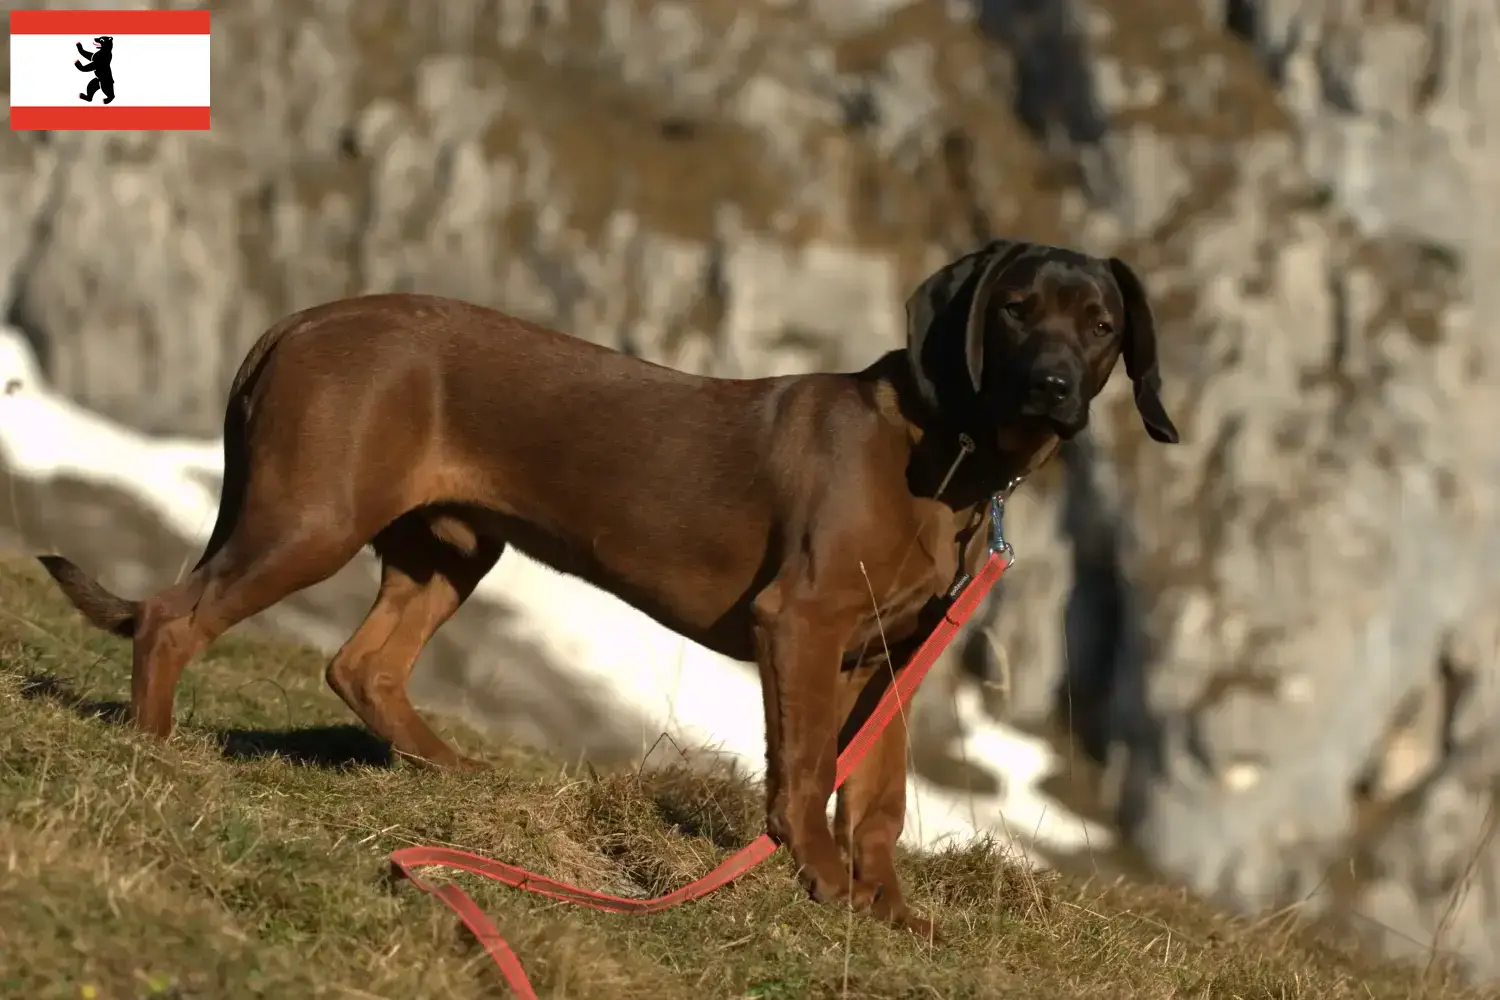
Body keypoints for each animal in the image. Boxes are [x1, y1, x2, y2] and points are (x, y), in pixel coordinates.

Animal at [38, 238, 1170, 935]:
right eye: (1015, 310)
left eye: (1101, 325)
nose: (1053, 388)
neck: (947, 449)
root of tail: (305, 321)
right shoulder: (801, 625)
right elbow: (808, 772)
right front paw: (818, 878)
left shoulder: (890, 656)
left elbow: (880, 797)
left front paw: (886, 911)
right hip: (308, 519)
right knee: (174, 618)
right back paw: (154, 749)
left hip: (448, 547)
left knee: (361, 666)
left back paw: (452, 775)